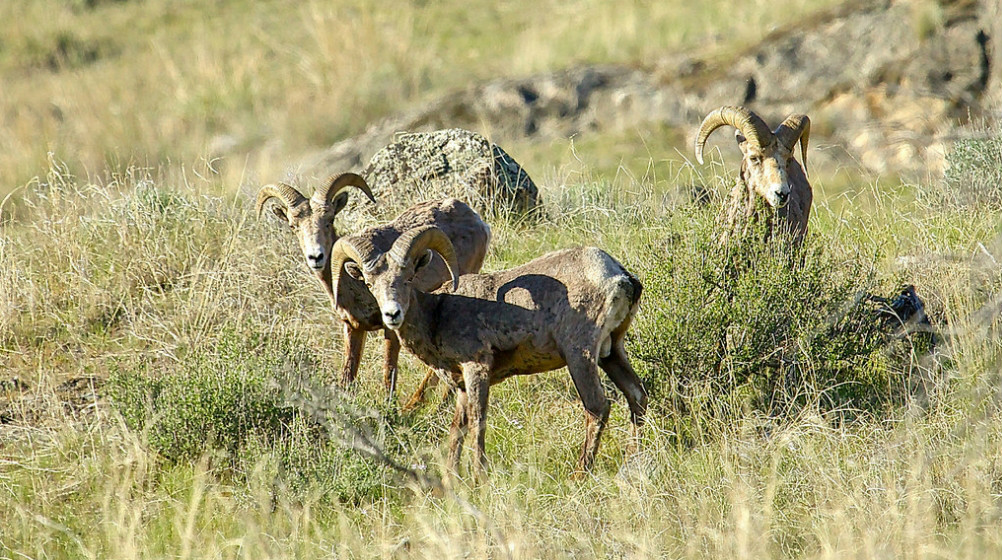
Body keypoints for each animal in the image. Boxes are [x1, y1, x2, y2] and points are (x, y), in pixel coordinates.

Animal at [256, 175, 490, 394]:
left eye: (329, 219)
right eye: (293, 226)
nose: (316, 257)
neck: (353, 286)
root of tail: (478, 222)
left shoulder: (390, 329)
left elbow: (388, 374)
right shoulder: (353, 328)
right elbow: (348, 375)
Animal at [332, 228, 645, 476]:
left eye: (409, 278)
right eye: (370, 284)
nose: (392, 314)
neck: (436, 315)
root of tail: (619, 277)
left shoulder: (477, 370)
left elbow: (477, 422)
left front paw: (478, 477)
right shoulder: (460, 386)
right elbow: (457, 428)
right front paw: (451, 477)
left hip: (580, 355)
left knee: (597, 407)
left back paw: (579, 474)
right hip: (611, 353)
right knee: (637, 396)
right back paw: (633, 465)